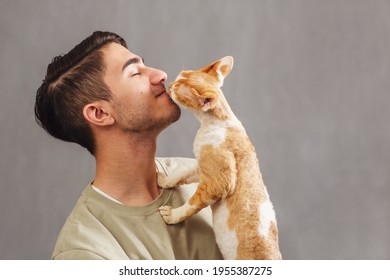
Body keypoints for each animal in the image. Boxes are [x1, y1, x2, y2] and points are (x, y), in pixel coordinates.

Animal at [157, 56, 282, 260]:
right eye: (179, 77)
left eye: (178, 87)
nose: (169, 84)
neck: (214, 123)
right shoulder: (202, 165)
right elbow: (181, 174)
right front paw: (164, 180)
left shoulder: (219, 181)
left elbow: (193, 202)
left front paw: (174, 216)